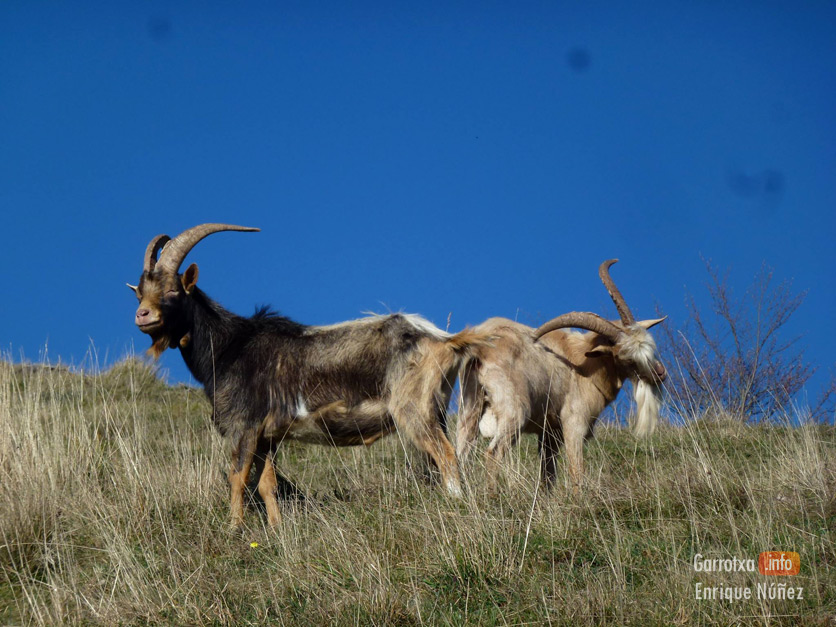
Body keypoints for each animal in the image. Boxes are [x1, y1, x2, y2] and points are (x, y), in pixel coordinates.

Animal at [458, 260, 668, 490]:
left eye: (650, 346)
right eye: (627, 358)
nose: (660, 373)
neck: (585, 363)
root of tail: (481, 348)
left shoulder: (549, 432)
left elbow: (548, 475)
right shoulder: (573, 423)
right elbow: (576, 471)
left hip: (470, 406)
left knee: (460, 452)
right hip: (513, 410)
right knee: (493, 452)